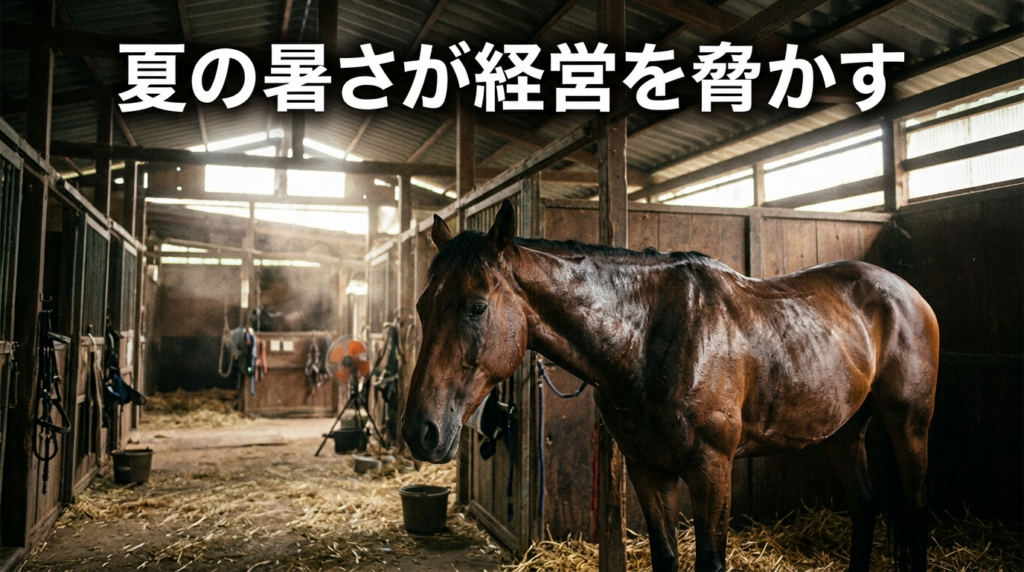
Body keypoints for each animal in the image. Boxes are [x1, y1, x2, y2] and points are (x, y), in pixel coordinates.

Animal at [402, 199, 938, 572]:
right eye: (423, 307)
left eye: (476, 306)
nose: (420, 431)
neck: (650, 336)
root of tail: (907, 292)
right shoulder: (646, 468)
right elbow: (666, 556)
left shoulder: (711, 468)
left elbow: (711, 561)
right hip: (844, 431)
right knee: (865, 503)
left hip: (909, 423)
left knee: (915, 510)